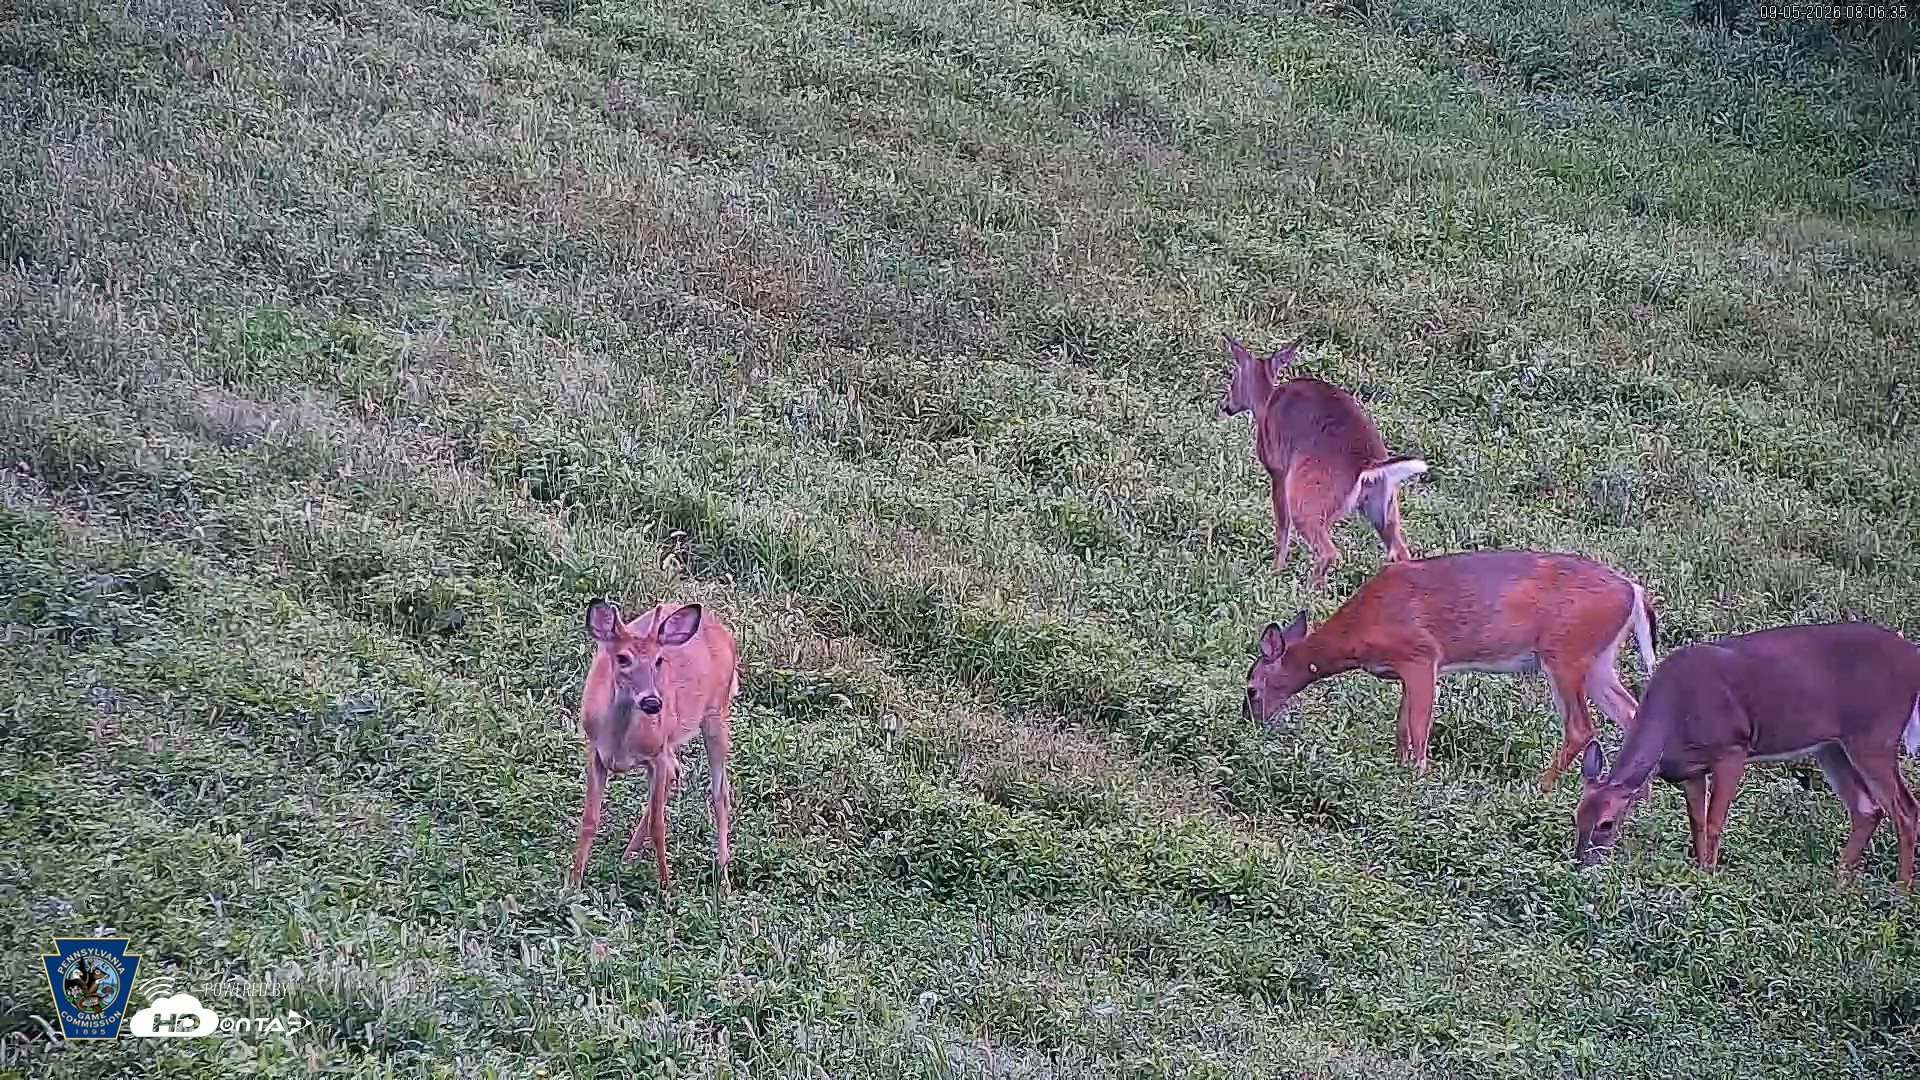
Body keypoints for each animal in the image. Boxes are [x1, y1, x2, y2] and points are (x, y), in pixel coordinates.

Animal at [571, 597, 739, 893]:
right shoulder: (595, 751)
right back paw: (627, 856)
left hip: (716, 714)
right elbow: (590, 820)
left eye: (659, 660)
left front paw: (667, 890)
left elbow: (658, 826)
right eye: (622, 658)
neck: (619, 742)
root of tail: (722, 631)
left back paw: (724, 880)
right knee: (677, 770)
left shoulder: (656, 753)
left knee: (720, 792)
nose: (652, 702)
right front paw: (572, 886)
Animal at [1215, 335, 1428, 589]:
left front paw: (1276, 570)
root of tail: (1367, 464)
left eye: (1232, 379)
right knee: (1401, 552)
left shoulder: (1278, 470)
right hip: (1384, 508)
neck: (1265, 403)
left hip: (1308, 498)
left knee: (1328, 551)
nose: (1225, 405)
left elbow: (1282, 526)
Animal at [1244, 549, 1657, 790]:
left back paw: (1541, 786)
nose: (1251, 723)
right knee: (1632, 713)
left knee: (1581, 728)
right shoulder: (1406, 669)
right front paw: (1400, 768)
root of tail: (1635, 591)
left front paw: (1418, 778)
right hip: (1599, 660)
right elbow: (1402, 727)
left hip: (1566, 652)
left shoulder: (1422, 654)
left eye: (1251, 688)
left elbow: (1418, 726)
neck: (1360, 629)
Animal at [1574, 621, 1920, 886]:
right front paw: (1698, 872)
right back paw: (1839, 883)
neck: (1673, 717)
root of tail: (1913, 656)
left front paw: (1709, 877)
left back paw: (1901, 891)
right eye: (1576, 816)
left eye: (1606, 824)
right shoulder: (1691, 769)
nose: (1579, 864)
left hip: (1875, 737)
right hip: (1832, 747)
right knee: (1867, 808)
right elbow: (1697, 822)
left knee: (1906, 809)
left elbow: (1715, 821)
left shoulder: (1733, 748)